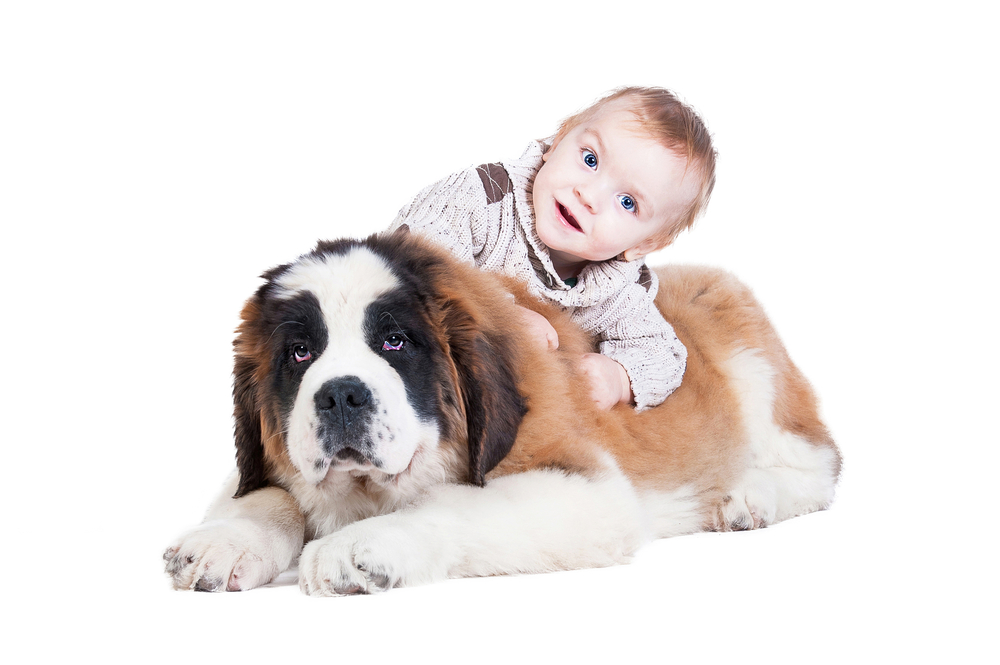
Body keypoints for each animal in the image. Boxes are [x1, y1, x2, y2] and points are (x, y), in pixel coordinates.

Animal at [166, 231, 844, 592]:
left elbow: (456, 505)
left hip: (748, 358)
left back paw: (747, 497)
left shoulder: (584, 489)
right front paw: (225, 540)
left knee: (819, 465)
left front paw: (361, 545)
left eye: (395, 342)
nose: (339, 395)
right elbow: (262, 493)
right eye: (301, 353)